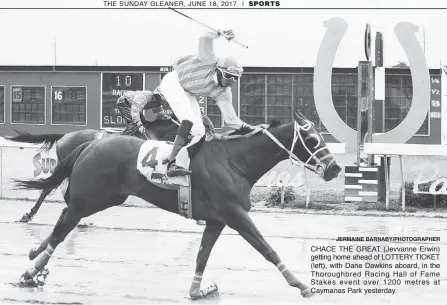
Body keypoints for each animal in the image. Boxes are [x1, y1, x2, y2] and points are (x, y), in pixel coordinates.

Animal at [14, 110, 344, 298]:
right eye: (312, 140)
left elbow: (202, 256)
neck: (234, 161)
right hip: (92, 196)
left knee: (63, 218)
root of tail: (92, 142)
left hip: (106, 197)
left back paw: (34, 253)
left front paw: (199, 289)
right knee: (63, 223)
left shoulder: (218, 220)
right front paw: (300, 284)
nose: (335, 168)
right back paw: (32, 269)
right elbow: (267, 248)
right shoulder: (236, 215)